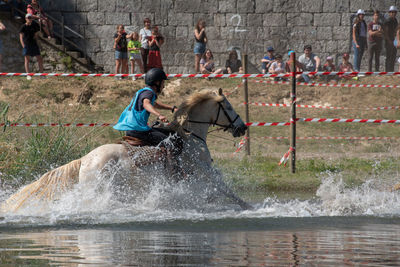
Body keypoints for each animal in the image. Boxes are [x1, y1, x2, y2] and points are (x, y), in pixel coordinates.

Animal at [0, 89, 250, 214]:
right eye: (228, 107)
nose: (242, 127)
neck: (190, 138)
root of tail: (85, 159)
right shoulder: (205, 175)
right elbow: (227, 191)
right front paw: (251, 207)